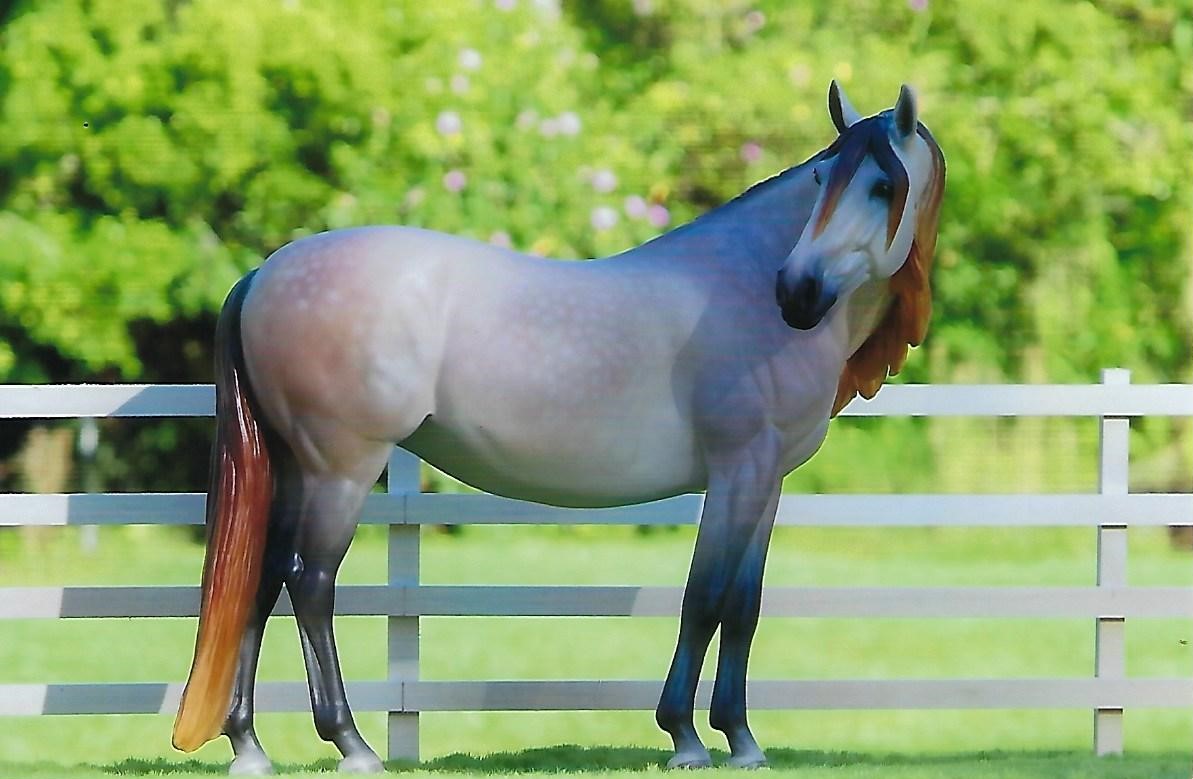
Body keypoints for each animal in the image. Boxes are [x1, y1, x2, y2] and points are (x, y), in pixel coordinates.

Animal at [172, 82, 944, 773]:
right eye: (822, 179)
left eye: (882, 186)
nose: (797, 292)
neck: (742, 286)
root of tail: (262, 275)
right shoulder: (738, 469)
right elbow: (704, 598)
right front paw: (687, 737)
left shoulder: (767, 477)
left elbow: (743, 605)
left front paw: (742, 739)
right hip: (340, 468)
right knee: (310, 583)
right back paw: (353, 744)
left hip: (296, 467)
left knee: (263, 578)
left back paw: (248, 745)